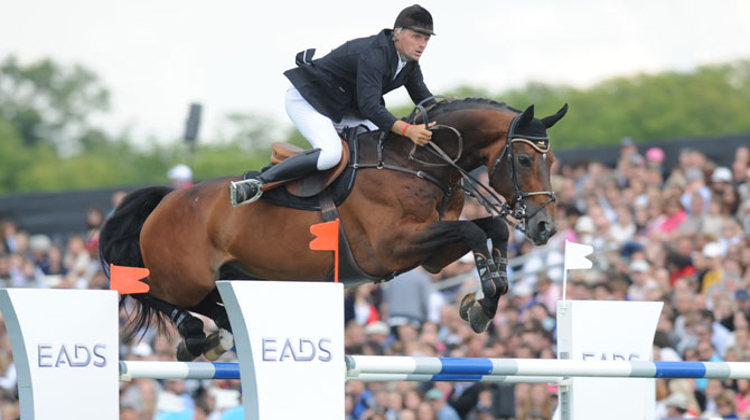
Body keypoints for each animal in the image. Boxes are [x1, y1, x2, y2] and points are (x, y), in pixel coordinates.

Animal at [101, 98, 568, 360]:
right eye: (524, 159)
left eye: (551, 160)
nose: (545, 226)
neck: (418, 163)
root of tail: (168, 199)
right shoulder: (391, 247)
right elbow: (474, 232)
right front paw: (481, 304)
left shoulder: (432, 254)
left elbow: (492, 229)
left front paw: (482, 302)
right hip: (183, 276)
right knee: (149, 292)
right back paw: (196, 337)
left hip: (228, 274)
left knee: (213, 304)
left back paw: (219, 334)